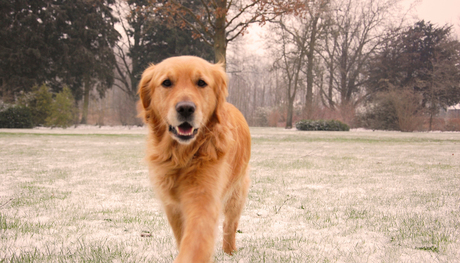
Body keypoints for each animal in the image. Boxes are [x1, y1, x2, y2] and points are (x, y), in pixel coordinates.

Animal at [137, 56, 252, 263]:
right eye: (166, 82)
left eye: (201, 82)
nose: (185, 108)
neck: (182, 155)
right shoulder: (172, 206)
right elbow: (182, 235)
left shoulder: (203, 197)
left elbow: (196, 241)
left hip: (237, 193)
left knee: (230, 225)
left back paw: (230, 252)